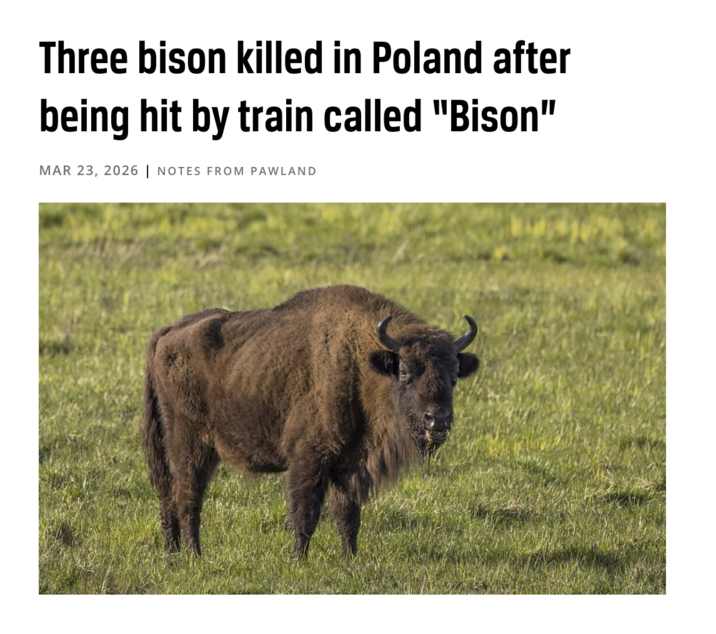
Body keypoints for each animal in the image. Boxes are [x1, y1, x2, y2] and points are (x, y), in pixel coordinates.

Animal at [143, 285, 479, 558]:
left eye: (454, 374)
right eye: (405, 371)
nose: (437, 421)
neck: (361, 361)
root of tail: (167, 333)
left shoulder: (351, 466)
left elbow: (348, 516)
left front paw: (349, 560)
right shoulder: (308, 460)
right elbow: (305, 515)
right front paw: (298, 560)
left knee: (170, 495)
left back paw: (173, 552)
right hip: (190, 445)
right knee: (187, 497)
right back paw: (194, 555)